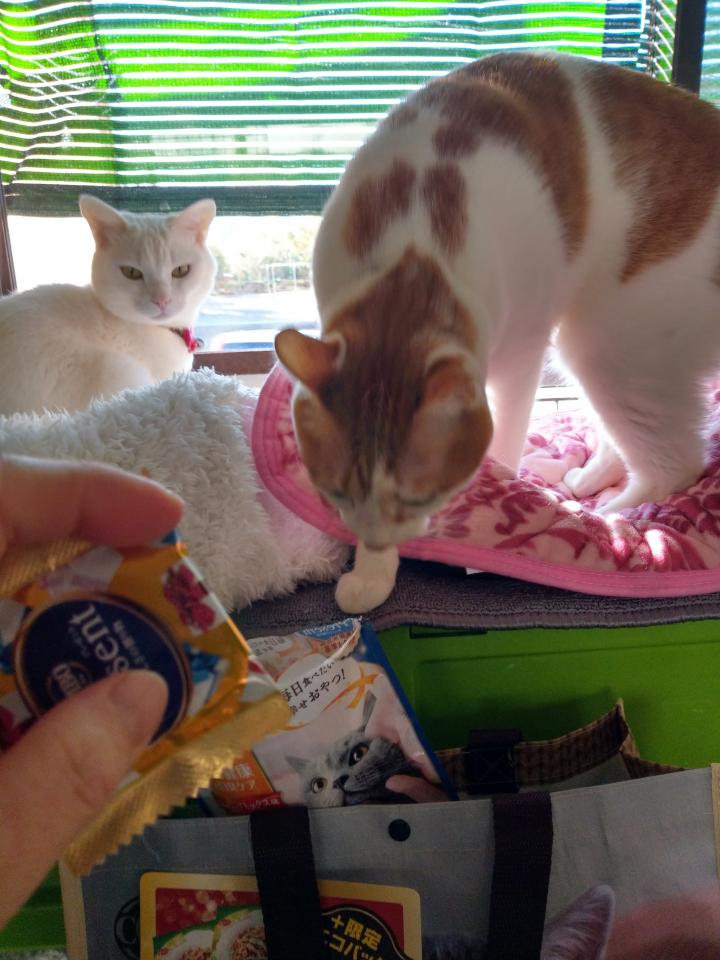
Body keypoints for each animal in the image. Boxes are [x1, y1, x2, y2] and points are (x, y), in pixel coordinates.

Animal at [274, 52, 720, 613]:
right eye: (335, 493)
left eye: (419, 497)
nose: (377, 540)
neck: (412, 250)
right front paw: (373, 573)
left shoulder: (521, 356)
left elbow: (503, 440)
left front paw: (497, 500)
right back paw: (583, 480)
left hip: (609, 347)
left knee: (675, 462)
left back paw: (610, 518)